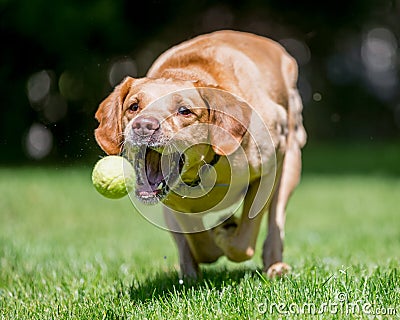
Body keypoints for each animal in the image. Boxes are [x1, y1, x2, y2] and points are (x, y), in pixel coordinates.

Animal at [94, 30, 306, 280]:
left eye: (184, 111)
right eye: (133, 106)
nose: (144, 126)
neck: (205, 167)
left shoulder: (271, 167)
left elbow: (244, 239)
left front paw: (226, 234)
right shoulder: (174, 202)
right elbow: (199, 242)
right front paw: (216, 238)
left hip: (291, 161)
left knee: (275, 221)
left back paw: (275, 265)